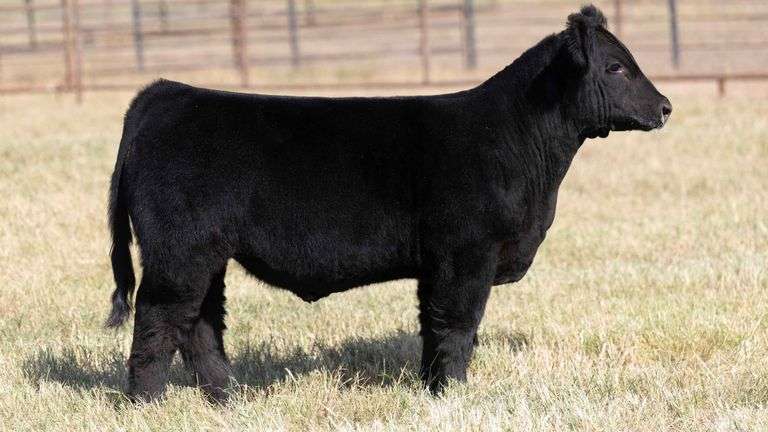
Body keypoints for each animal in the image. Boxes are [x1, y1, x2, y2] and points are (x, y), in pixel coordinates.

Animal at [106, 5, 671, 402]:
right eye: (617, 68)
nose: (666, 107)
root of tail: (164, 93)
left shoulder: (438, 264)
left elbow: (432, 326)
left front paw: (432, 389)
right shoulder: (467, 253)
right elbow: (457, 326)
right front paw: (452, 395)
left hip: (206, 255)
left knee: (199, 323)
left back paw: (228, 398)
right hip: (178, 253)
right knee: (159, 320)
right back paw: (146, 404)